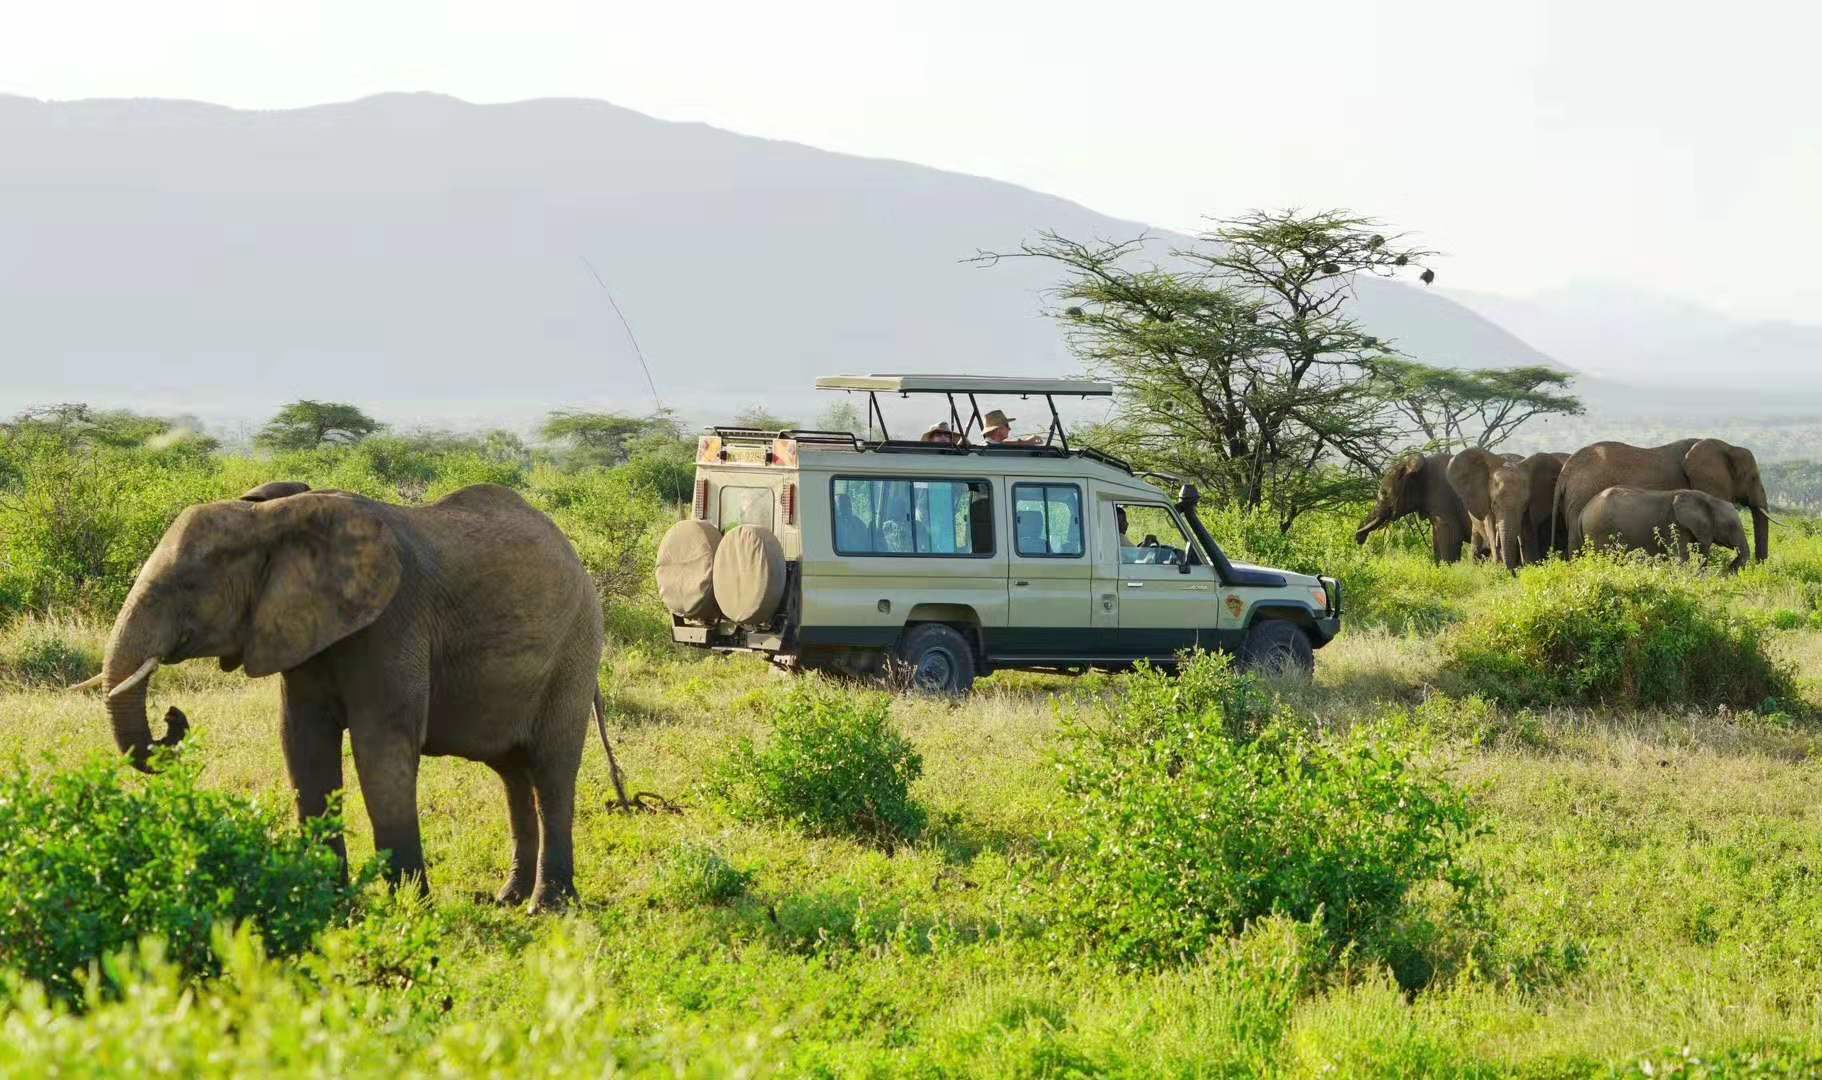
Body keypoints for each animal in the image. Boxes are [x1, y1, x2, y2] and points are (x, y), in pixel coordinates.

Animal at [76, 480, 604, 910]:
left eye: (187, 585)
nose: (173, 718)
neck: (272, 519)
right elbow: (303, 744)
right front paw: (328, 899)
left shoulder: (392, 623)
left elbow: (380, 749)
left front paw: (409, 908)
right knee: (513, 774)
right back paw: (509, 898)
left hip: (575, 652)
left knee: (551, 771)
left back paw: (547, 906)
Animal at [1581, 488, 1749, 571]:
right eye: (1731, 526)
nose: (1728, 570)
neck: (1708, 499)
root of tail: (1583, 511)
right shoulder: (1675, 524)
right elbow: (1682, 556)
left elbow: (1701, 553)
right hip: (1599, 530)